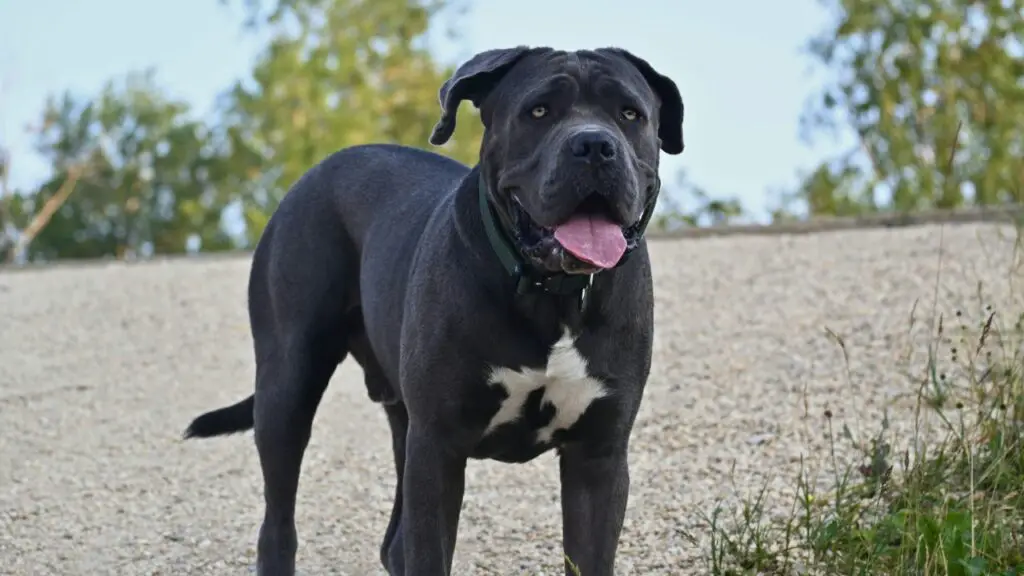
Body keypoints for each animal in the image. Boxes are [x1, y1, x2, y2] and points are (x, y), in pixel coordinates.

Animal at [186, 45, 679, 573]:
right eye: (539, 112)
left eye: (629, 114)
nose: (594, 145)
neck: (552, 294)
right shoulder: (438, 448)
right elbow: (429, 551)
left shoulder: (598, 458)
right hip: (288, 384)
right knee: (278, 522)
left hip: (400, 418)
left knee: (393, 541)